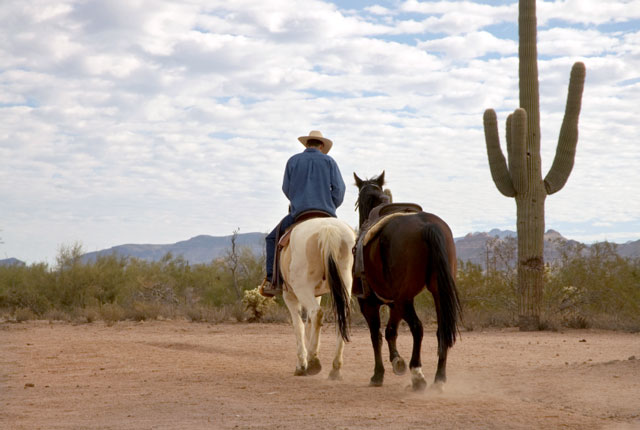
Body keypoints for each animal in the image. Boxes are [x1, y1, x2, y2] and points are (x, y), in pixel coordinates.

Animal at [278, 217, 356, 378]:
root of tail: (327, 228)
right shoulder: (316, 294)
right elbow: (308, 325)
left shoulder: (290, 296)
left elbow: (299, 326)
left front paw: (301, 364)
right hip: (345, 283)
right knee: (341, 316)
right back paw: (335, 368)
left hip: (302, 289)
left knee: (316, 313)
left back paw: (313, 361)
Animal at [356, 170, 460, 390]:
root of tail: (427, 225)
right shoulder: (395, 302)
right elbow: (390, 331)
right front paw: (397, 361)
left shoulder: (368, 303)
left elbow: (376, 336)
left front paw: (378, 374)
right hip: (436, 293)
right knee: (441, 331)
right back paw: (439, 378)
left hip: (404, 299)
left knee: (417, 327)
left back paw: (418, 375)